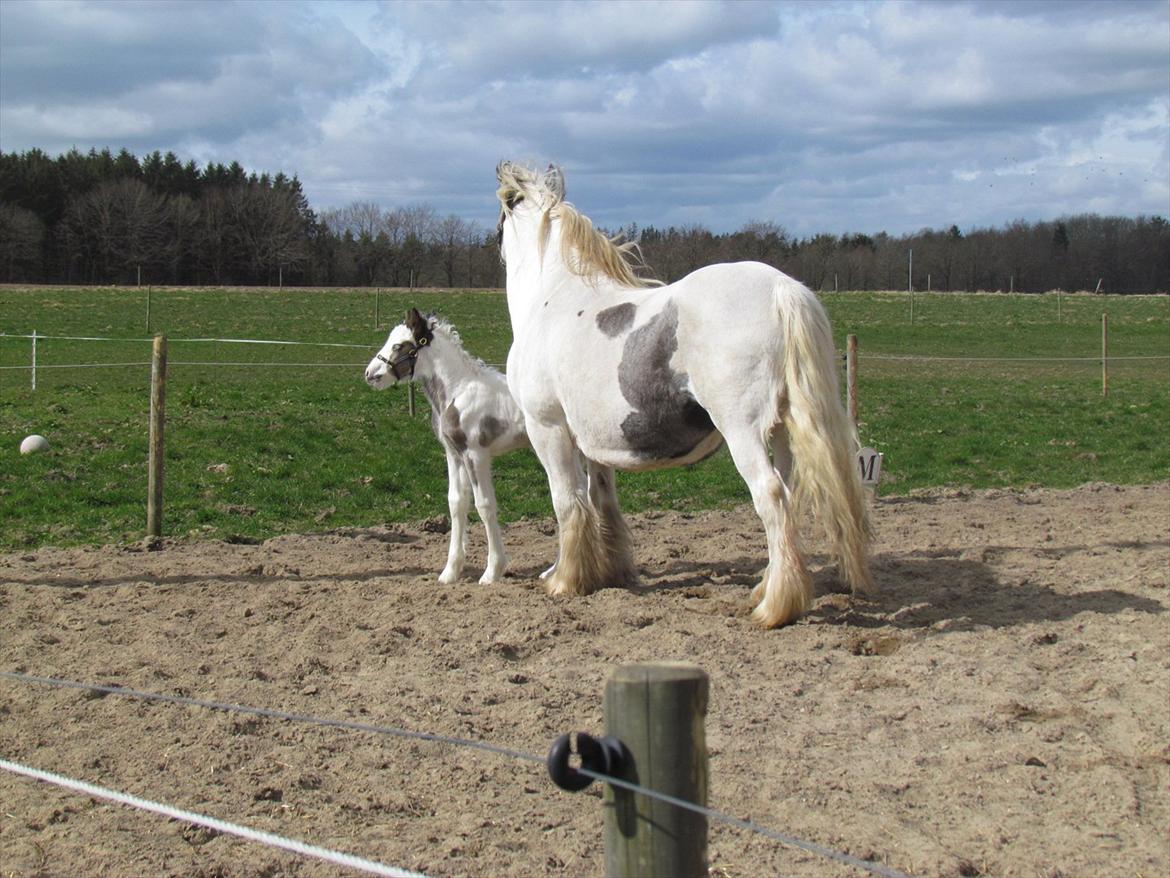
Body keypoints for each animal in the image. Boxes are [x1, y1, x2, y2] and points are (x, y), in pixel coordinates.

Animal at [365, 309, 531, 585]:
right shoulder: (454, 454)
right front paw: (450, 571)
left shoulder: (476, 455)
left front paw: (492, 571)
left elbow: (484, 505)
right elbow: (457, 503)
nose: (370, 373)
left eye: (399, 345)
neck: (458, 391)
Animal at [493, 163, 870, 632]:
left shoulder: (548, 429)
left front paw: (565, 580)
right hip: (783, 428)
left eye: (500, 220)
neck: (552, 298)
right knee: (787, 498)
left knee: (770, 496)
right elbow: (601, 500)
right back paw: (770, 587)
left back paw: (775, 606)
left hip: (743, 431)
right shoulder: (594, 441)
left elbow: (567, 501)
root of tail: (781, 289)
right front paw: (610, 572)